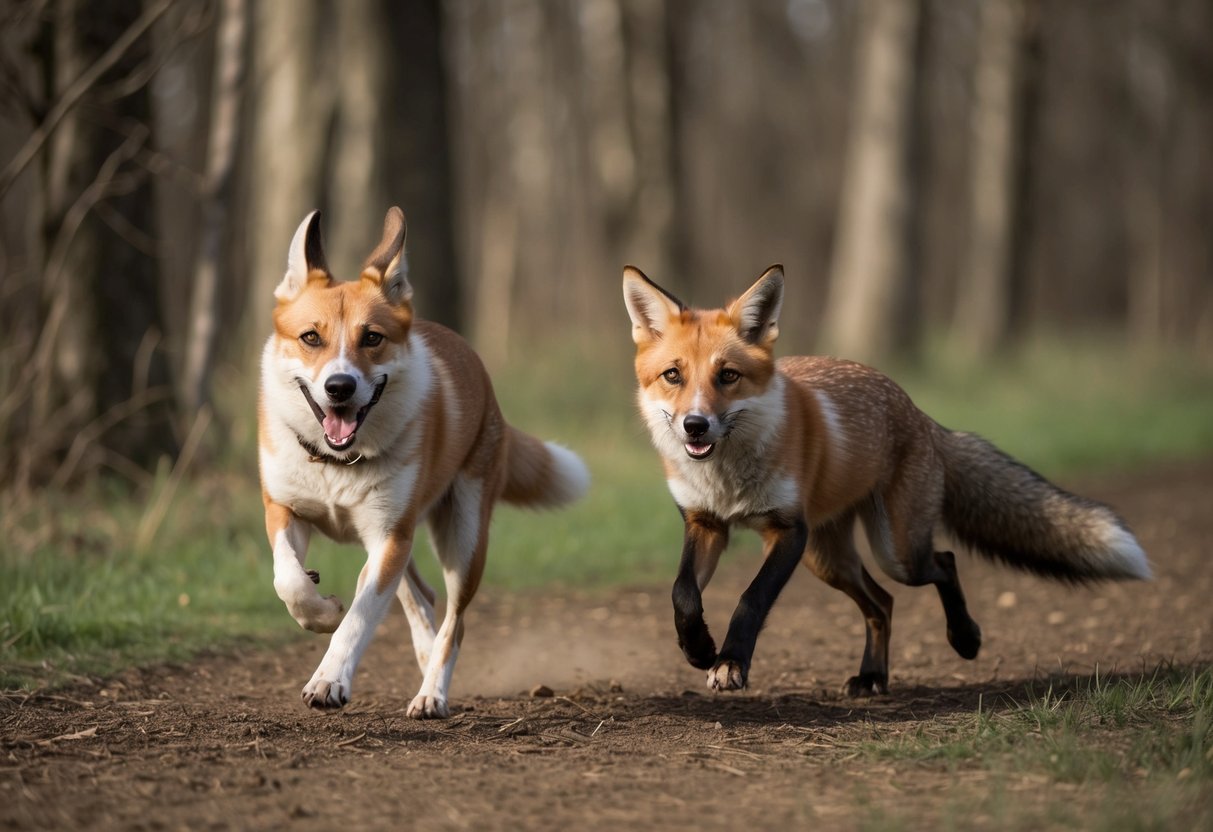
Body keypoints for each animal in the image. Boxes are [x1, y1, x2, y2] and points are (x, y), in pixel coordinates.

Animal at [259, 207, 589, 716]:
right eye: (310, 337)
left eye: (372, 338)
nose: (339, 387)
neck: (338, 464)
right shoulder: (284, 508)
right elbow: (289, 579)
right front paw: (322, 610)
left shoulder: (390, 536)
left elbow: (359, 619)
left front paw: (329, 680)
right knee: (422, 597)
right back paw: (423, 653)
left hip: (463, 537)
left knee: (455, 619)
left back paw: (432, 692)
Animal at [622, 264, 1150, 695]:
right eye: (673, 375)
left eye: (728, 376)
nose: (695, 426)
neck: (727, 480)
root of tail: (921, 414)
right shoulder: (706, 523)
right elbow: (683, 594)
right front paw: (698, 649)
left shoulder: (788, 531)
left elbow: (751, 600)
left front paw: (731, 662)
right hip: (829, 559)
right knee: (883, 604)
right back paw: (873, 675)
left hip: (891, 551)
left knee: (941, 563)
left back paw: (964, 638)